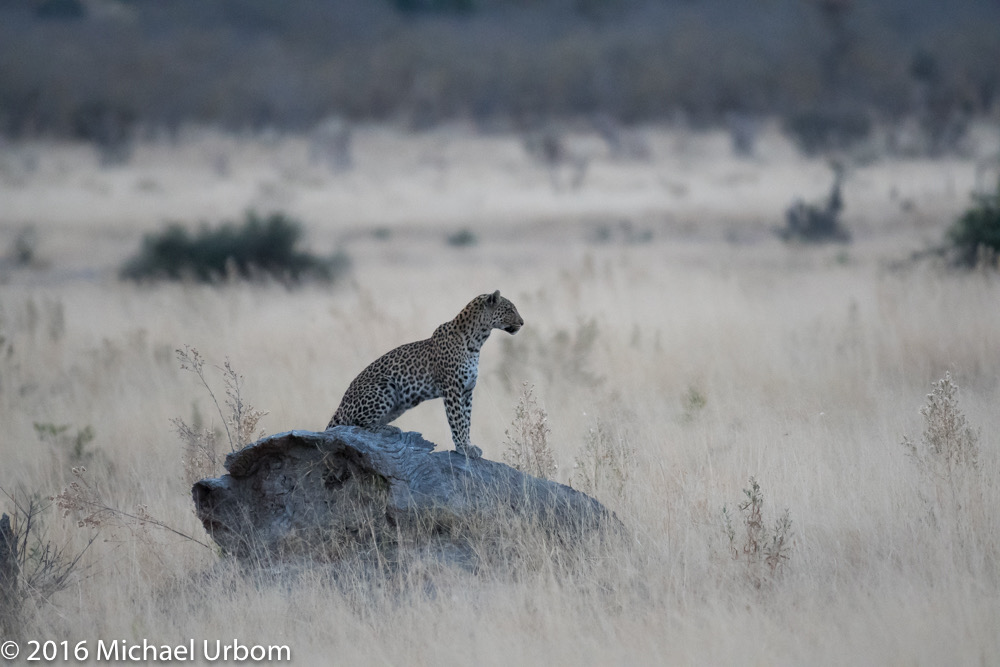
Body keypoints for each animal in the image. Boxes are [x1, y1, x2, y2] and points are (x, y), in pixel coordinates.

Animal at [328, 290, 524, 456]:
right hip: (384, 387)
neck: (477, 341)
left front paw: (468, 445)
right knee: (355, 425)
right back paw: (388, 429)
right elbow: (457, 420)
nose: (522, 322)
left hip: (398, 406)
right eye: (510, 310)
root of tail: (340, 406)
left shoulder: (468, 391)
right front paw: (462, 447)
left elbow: (467, 420)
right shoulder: (452, 389)